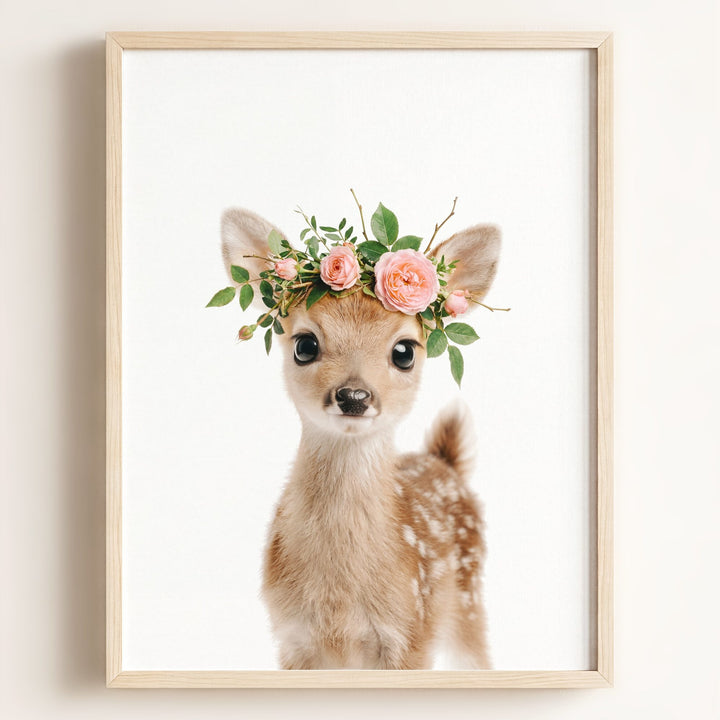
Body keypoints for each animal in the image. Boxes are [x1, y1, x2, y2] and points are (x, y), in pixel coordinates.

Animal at [220, 207, 501, 670]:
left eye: (404, 351)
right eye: (305, 345)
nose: (354, 396)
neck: (339, 601)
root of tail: (444, 461)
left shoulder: (411, 633)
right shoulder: (292, 638)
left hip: (468, 602)